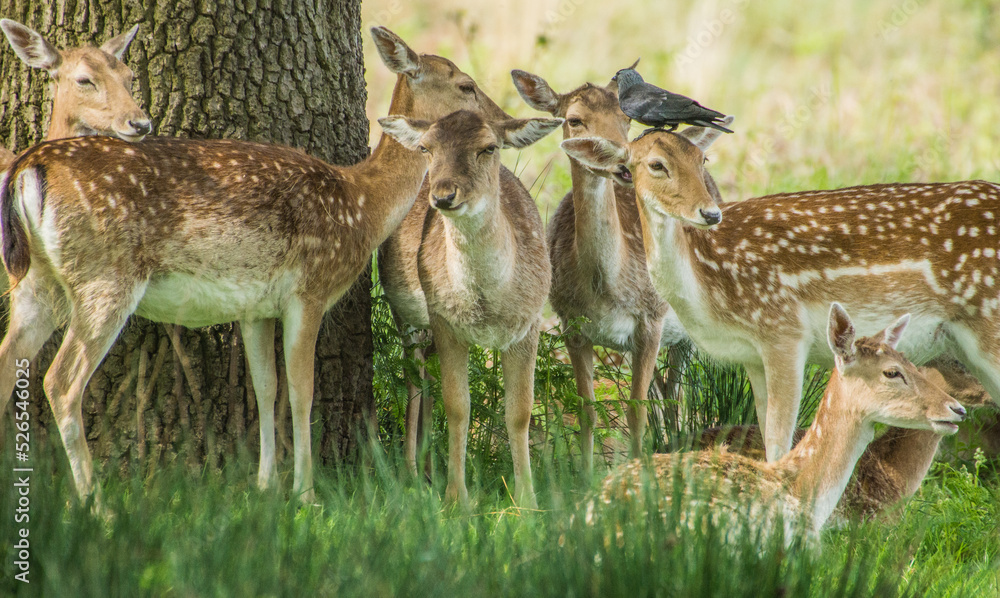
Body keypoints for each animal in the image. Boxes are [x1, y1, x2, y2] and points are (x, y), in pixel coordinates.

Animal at [378, 110, 562, 507]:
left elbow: (520, 411)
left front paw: (527, 500)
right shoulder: (445, 321)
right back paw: (412, 474)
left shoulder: (530, 323)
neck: (486, 305)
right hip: (405, 314)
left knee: (426, 378)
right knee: (415, 378)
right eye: (427, 147)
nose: (444, 195)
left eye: (488, 147)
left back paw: (428, 470)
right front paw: (455, 499)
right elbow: (458, 406)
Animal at [510, 68, 728, 473]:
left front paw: (640, 471)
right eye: (573, 119)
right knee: (663, 391)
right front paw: (585, 473)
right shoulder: (571, 324)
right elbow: (588, 410)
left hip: (689, 325)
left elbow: (636, 411)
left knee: (675, 393)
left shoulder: (650, 320)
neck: (604, 289)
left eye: (626, 121)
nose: (621, 165)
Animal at [561, 127, 1000, 464]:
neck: (709, 285)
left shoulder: (783, 331)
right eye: (656, 164)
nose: (710, 213)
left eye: (703, 160)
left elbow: (777, 440)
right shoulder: (752, 355)